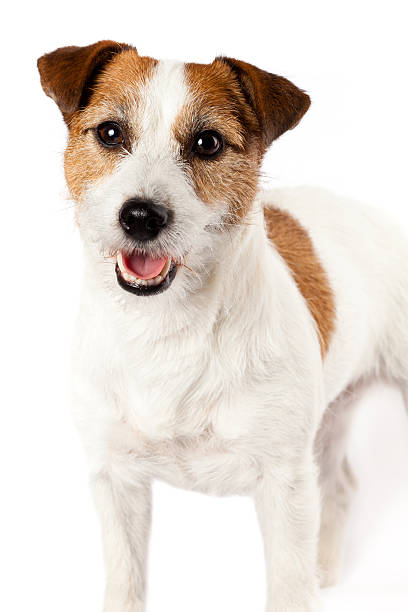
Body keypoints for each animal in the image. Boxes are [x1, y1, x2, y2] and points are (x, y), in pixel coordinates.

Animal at [37, 40, 408, 608]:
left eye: (207, 142)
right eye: (110, 132)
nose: (141, 216)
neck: (167, 330)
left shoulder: (284, 483)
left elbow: (288, 585)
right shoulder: (116, 478)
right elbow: (125, 582)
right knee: (341, 484)